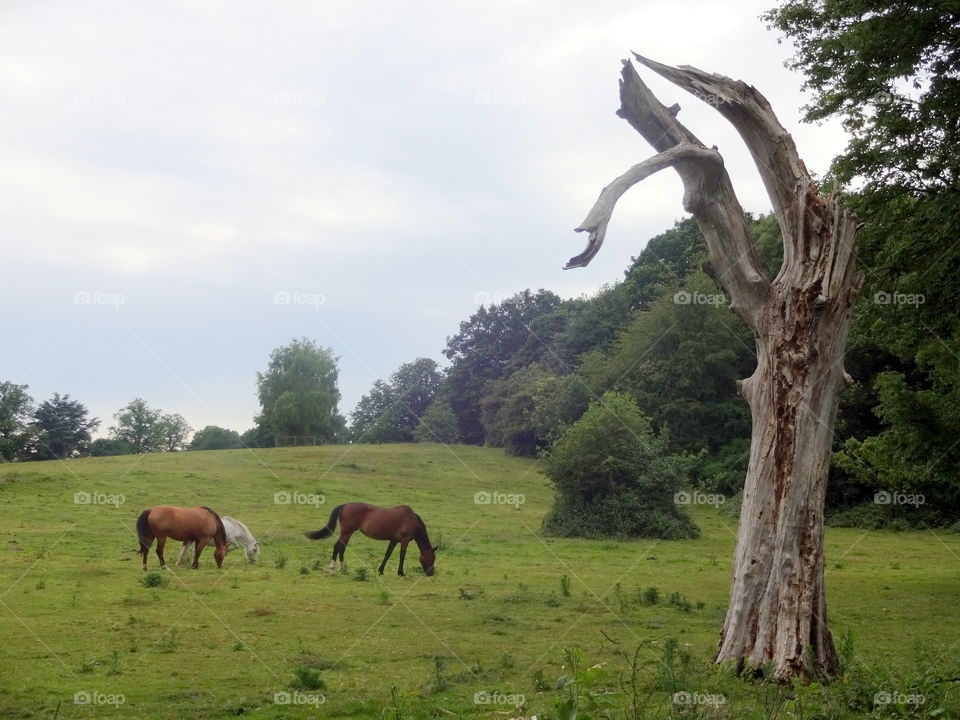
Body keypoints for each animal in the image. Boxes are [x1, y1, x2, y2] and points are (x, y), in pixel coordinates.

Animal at [306, 504, 436, 576]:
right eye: (432, 559)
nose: (431, 573)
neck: (411, 519)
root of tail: (344, 505)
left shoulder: (394, 540)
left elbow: (387, 554)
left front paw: (381, 570)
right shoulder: (405, 540)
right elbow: (402, 556)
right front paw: (401, 573)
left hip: (347, 534)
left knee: (341, 548)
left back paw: (342, 569)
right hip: (347, 533)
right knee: (338, 547)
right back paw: (332, 569)